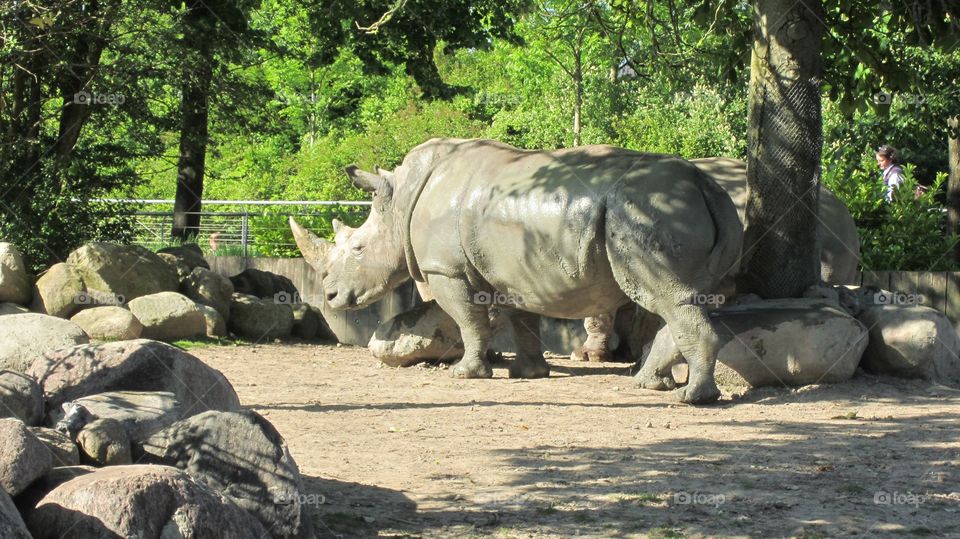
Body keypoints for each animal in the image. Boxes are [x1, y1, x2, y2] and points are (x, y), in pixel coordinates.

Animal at [291, 138, 742, 404]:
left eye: (358, 249)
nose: (329, 297)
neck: (400, 203)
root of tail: (707, 186)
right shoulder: (515, 270)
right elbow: (520, 321)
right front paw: (528, 374)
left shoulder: (446, 271)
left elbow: (470, 320)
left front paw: (466, 374)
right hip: (675, 211)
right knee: (681, 298)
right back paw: (649, 385)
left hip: (647, 210)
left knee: (668, 298)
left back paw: (691, 398)